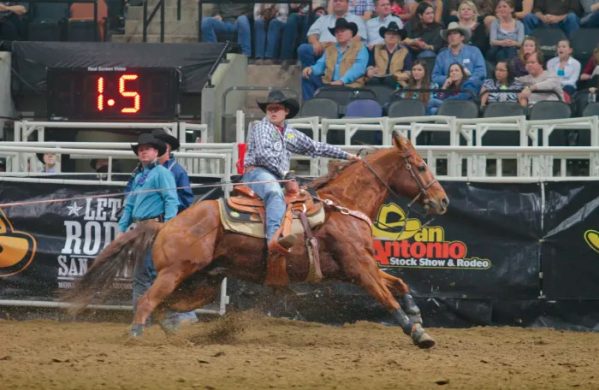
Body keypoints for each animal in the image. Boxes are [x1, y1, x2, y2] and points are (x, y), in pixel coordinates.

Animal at [67, 131, 450, 348]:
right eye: (420, 166)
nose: (443, 201)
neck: (343, 204)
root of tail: (166, 224)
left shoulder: (363, 266)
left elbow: (400, 285)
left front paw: (417, 316)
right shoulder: (359, 269)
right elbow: (387, 297)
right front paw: (419, 334)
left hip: (203, 283)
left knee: (163, 307)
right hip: (174, 273)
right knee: (148, 302)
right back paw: (134, 336)